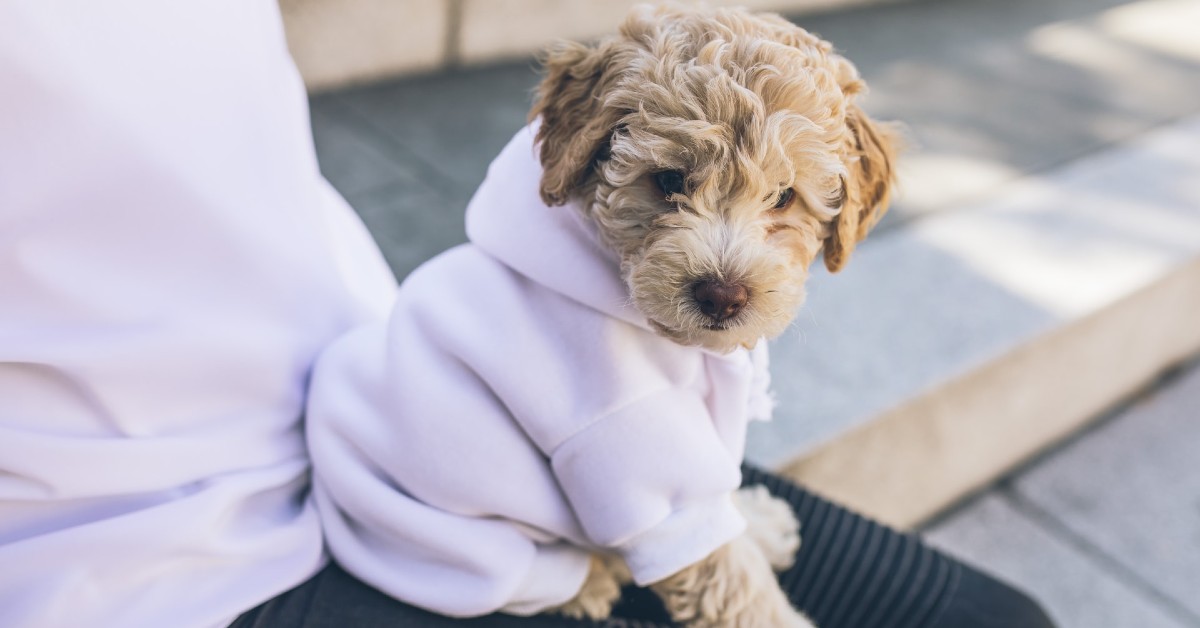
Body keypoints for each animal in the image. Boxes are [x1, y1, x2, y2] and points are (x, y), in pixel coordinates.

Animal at [304, 2, 897, 624]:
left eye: (784, 197)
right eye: (668, 180)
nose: (722, 294)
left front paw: (755, 520)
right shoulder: (629, 444)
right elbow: (729, 578)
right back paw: (591, 578)